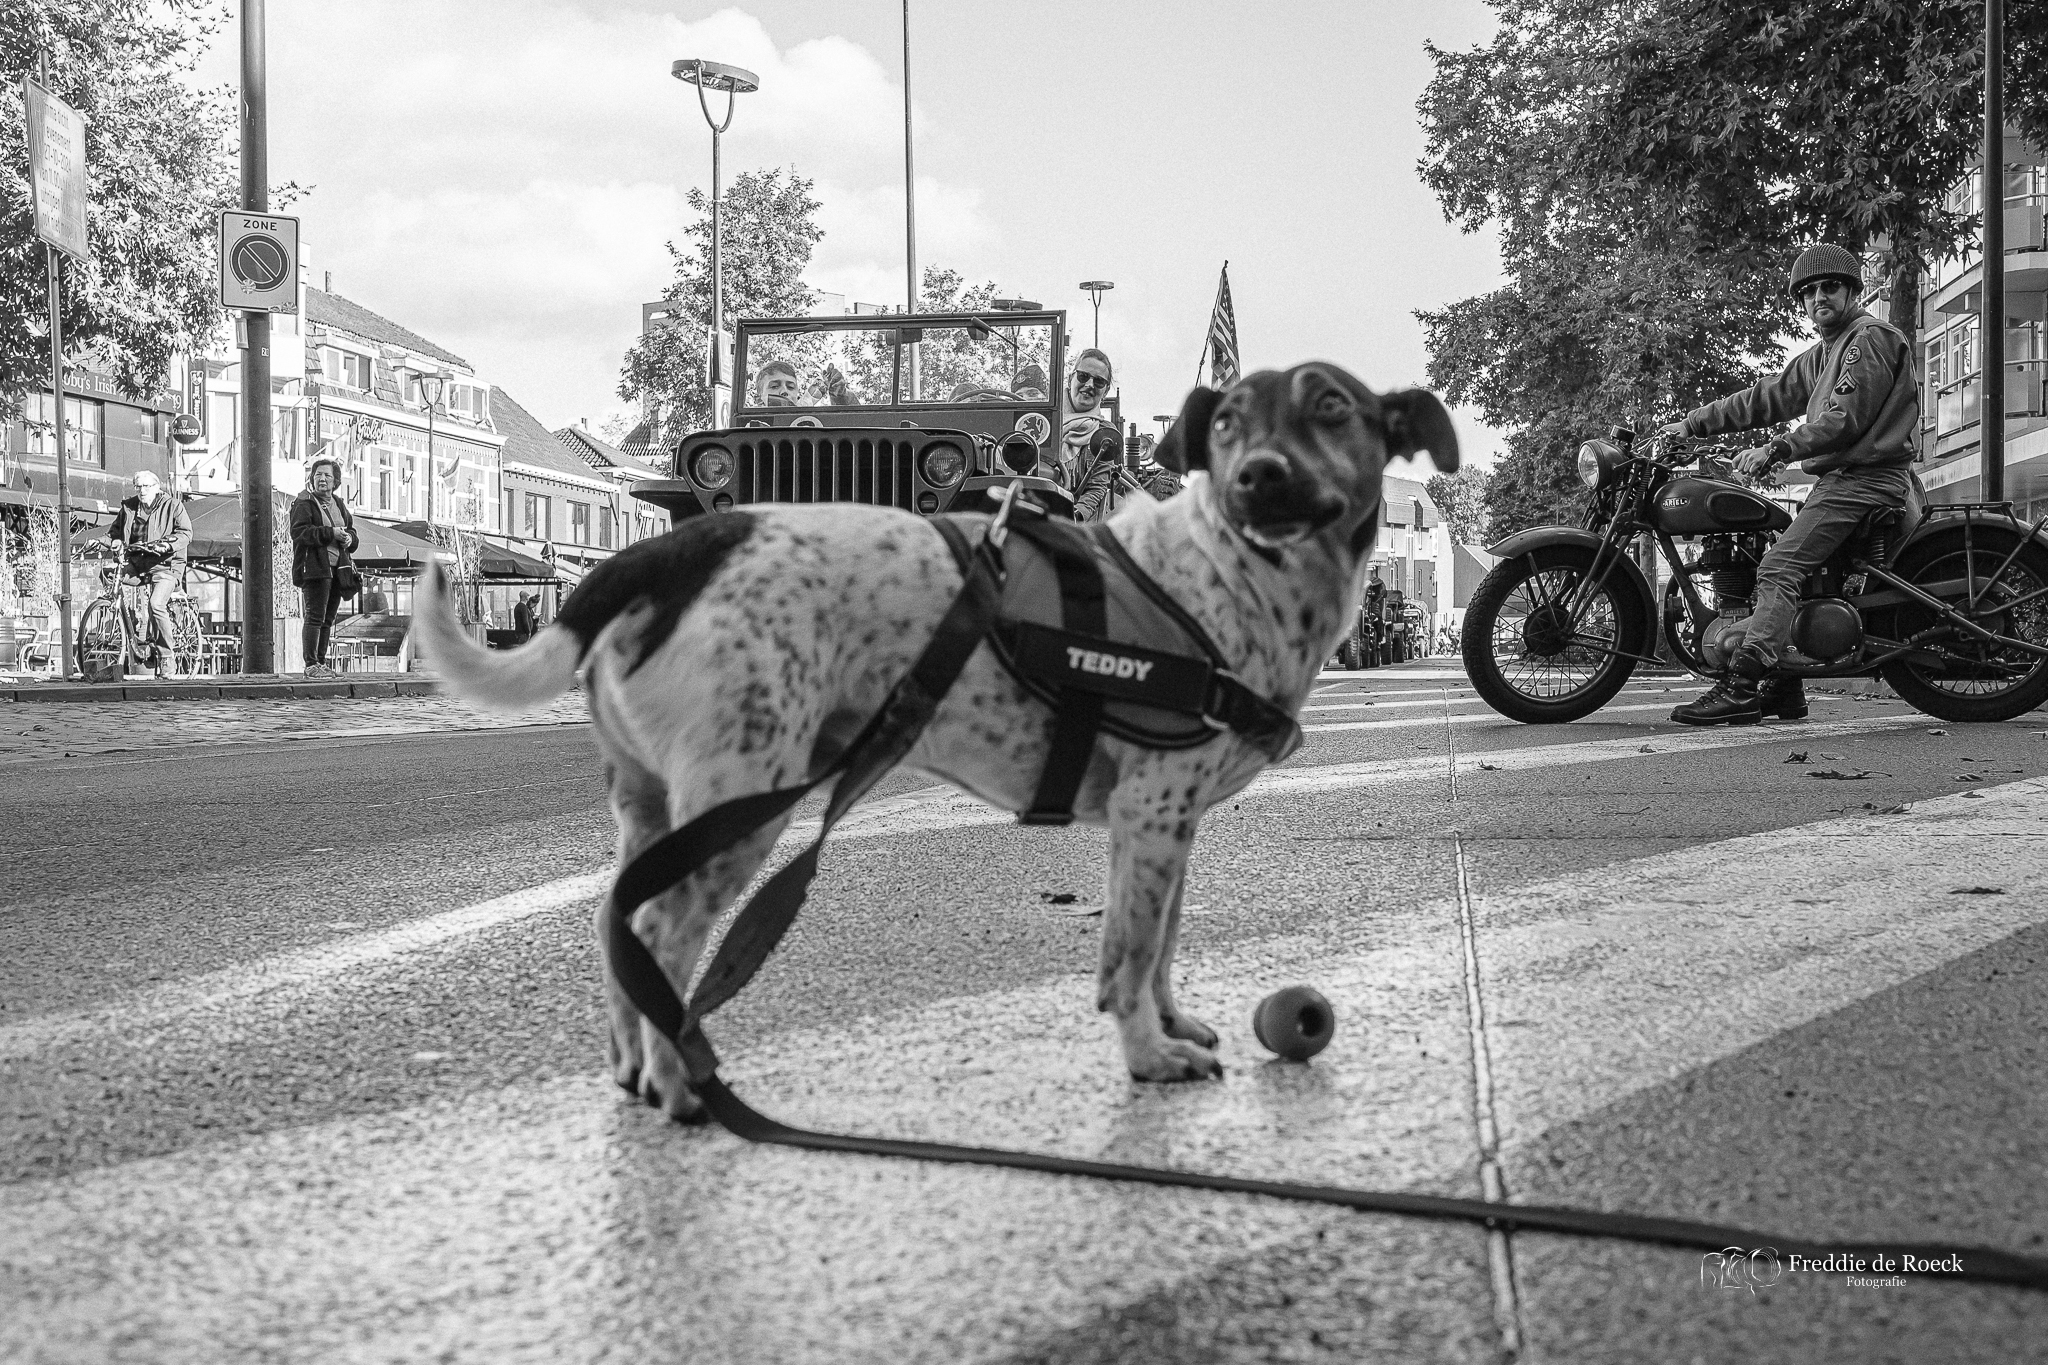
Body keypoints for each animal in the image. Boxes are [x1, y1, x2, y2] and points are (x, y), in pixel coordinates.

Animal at [415, 362, 1458, 1121]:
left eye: (1332, 407)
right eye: (1230, 421)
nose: (1256, 479)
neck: (1230, 570)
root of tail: (674, 547)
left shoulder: (1166, 826)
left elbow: (1156, 943)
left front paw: (1171, 1026)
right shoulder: (1153, 811)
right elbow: (1127, 953)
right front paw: (1147, 1053)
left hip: (655, 804)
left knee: (621, 930)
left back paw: (640, 1071)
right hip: (742, 800)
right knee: (664, 933)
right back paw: (682, 1083)